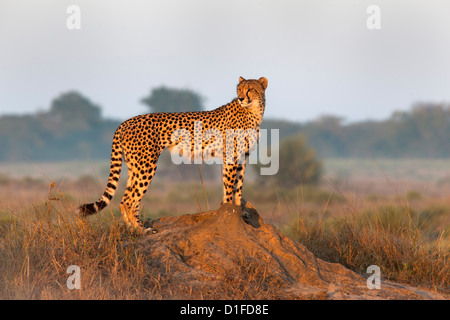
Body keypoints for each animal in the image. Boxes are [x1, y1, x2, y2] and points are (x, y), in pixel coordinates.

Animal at [77, 77, 268, 232]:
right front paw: (228, 211)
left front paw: (239, 211)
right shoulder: (231, 155)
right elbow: (229, 186)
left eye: (250, 89)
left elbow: (238, 185)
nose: (241, 98)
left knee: (125, 200)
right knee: (131, 200)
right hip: (146, 166)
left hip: (134, 166)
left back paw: (132, 228)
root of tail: (126, 122)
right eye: (239, 89)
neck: (253, 111)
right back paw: (141, 230)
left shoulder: (242, 157)